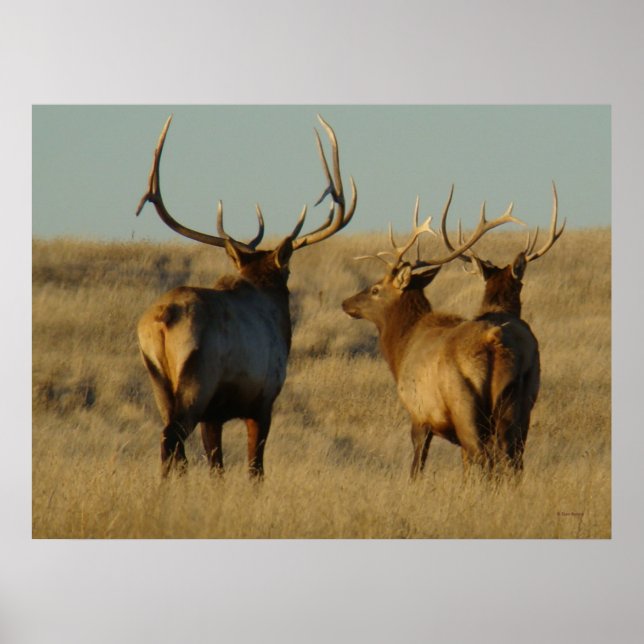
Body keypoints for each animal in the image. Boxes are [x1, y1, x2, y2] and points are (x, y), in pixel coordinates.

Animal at [135, 114, 356, 478]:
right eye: (288, 272)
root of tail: (161, 321)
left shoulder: (215, 415)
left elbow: (217, 468)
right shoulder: (263, 400)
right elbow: (256, 469)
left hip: (158, 381)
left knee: (175, 446)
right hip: (198, 378)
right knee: (172, 439)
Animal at [341, 189, 530, 478]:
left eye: (375, 289)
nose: (346, 303)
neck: (401, 348)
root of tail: (493, 341)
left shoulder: (419, 412)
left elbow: (416, 467)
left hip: (464, 403)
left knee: (485, 457)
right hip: (517, 402)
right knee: (513, 459)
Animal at [438, 183, 566, 469]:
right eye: (521, 284)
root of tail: (492, 341)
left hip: (466, 401)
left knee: (474, 452)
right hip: (511, 397)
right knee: (508, 452)